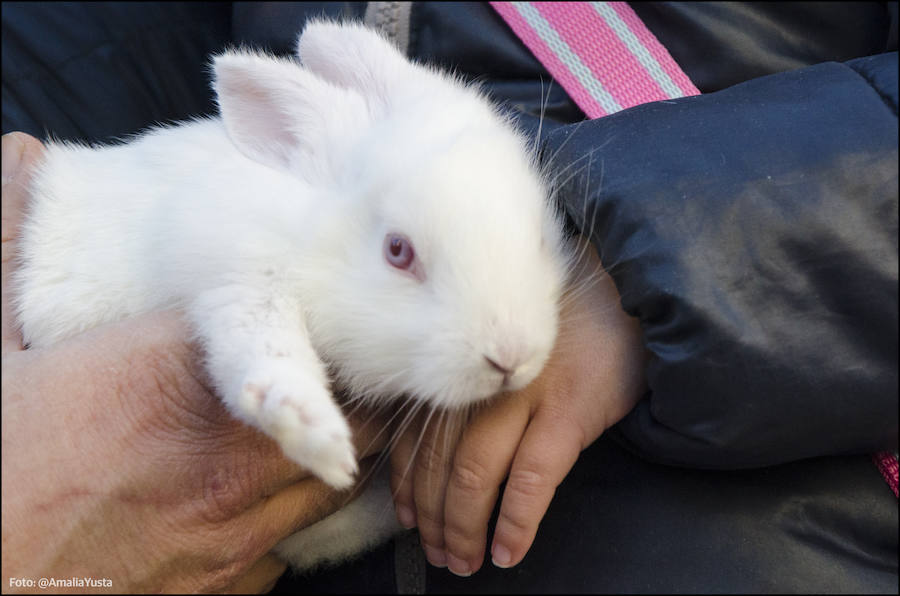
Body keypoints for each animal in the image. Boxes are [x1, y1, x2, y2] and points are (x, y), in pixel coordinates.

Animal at [14, 18, 572, 568]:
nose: (510, 358)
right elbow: (261, 352)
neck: (309, 232)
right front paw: (317, 435)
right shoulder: (237, 275)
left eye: (540, 236)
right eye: (397, 251)